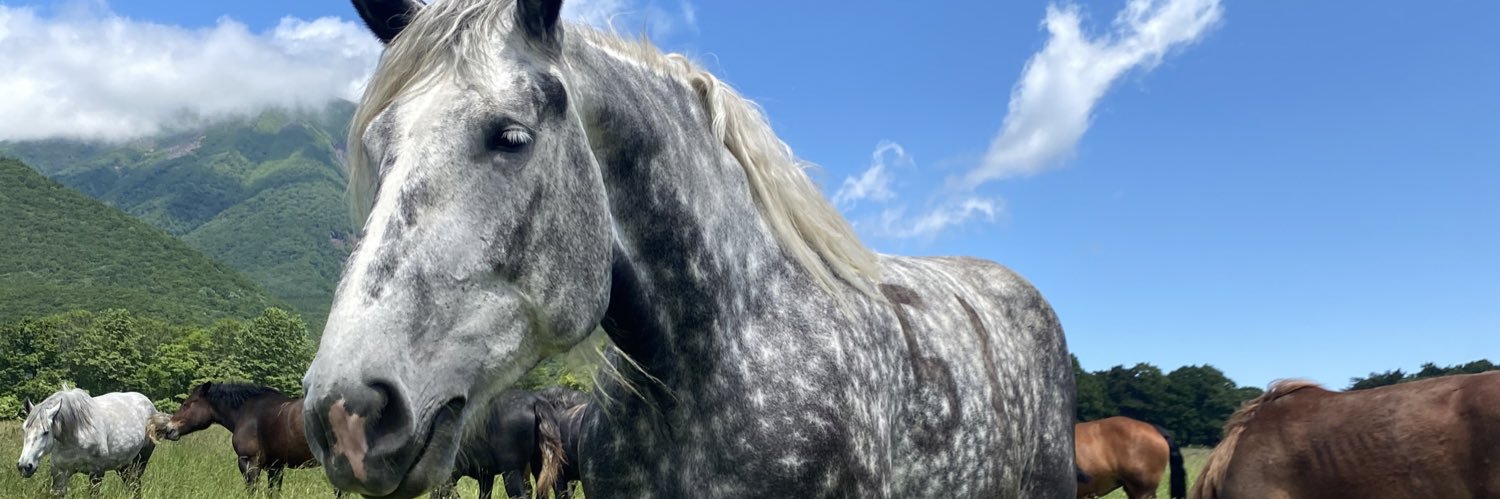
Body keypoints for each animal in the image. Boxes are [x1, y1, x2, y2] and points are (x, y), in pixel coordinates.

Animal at [15, 385, 158, 498]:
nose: (25, 466)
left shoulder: (97, 472)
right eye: (24, 429)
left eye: (45, 432)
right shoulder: (60, 474)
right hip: (124, 466)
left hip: (139, 463)